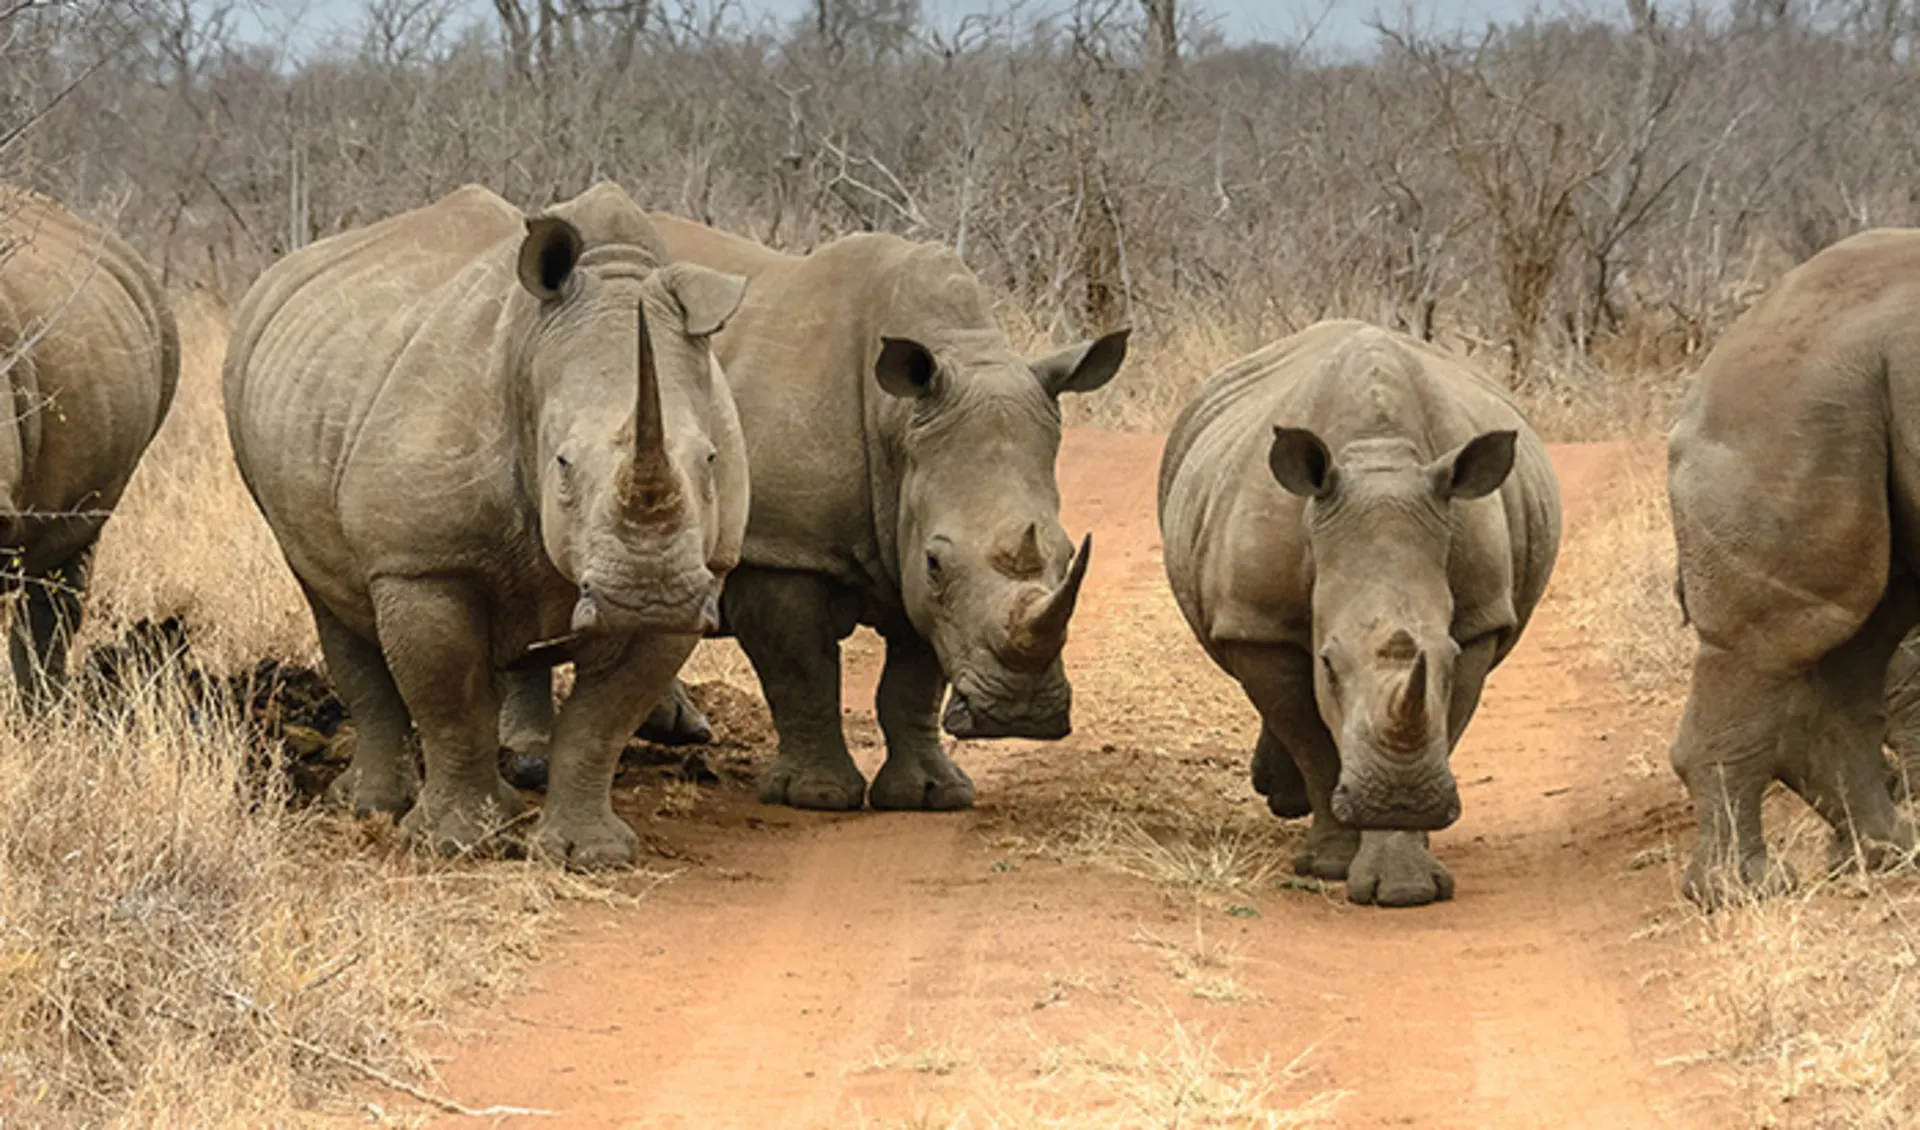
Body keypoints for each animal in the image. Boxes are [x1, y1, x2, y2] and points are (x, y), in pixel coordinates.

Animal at [217, 183, 741, 863]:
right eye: (562, 463)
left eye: (711, 460)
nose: (649, 597)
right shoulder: (422, 561)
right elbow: (452, 699)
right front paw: (455, 843)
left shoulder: (704, 570)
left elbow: (602, 720)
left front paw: (591, 855)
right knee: (330, 598)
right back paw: (370, 807)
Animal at [1152, 322, 1559, 901]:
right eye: (1327, 663)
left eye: (1452, 657)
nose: (1399, 799)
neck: (1378, 456)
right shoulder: (1260, 623)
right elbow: (1311, 738)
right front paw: (1331, 864)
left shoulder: (1480, 621)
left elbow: (1443, 720)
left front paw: (1406, 881)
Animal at [1666, 224, 1920, 901]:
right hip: (1794, 403)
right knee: (1784, 636)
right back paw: (1745, 891)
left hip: (1839, 395)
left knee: (1867, 621)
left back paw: (1888, 853)